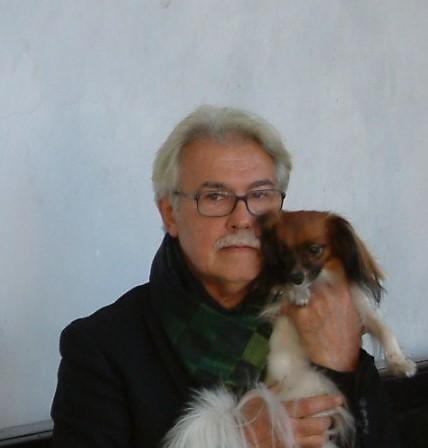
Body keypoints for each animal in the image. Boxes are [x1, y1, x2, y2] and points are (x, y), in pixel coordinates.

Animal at [163, 210, 416, 448]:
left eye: (315, 249)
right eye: (283, 252)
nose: (296, 277)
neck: (321, 281)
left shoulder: (360, 310)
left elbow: (385, 330)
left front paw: (399, 363)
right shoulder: (278, 300)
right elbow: (282, 289)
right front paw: (298, 293)